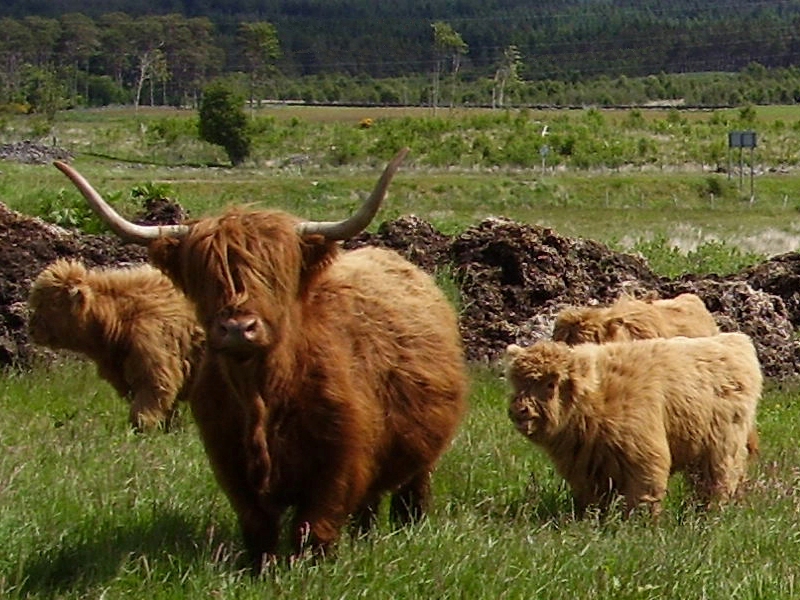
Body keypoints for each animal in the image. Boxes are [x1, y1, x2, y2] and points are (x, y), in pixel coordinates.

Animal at [54, 148, 468, 568]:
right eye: (205, 275)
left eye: (274, 274)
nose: (238, 328)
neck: (263, 391)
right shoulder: (230, 460)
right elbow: (258, 526)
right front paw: (261, 568)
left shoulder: (340, 459)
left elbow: (315, 525)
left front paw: (312, 567)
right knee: (368, 505)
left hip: (422, 453)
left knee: (411, 490)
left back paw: (408, 527)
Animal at [506, 332, 764, 516]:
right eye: (516, 382)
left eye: (551, 384)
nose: (519, 410)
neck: (597, 399)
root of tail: (736, 340)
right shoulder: (584, 466)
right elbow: (593, 500)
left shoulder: (644, 455)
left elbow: (644, 493)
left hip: (721, 447)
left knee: (717, 483)